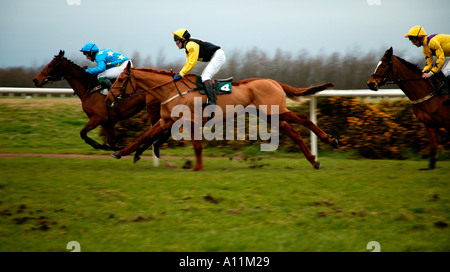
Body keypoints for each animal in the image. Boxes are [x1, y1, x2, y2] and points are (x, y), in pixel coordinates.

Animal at [33, 50, 163, 153]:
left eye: (51, 65)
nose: (35, 80)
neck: (89, 88)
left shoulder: (99, 117)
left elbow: (83, 133)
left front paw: (98, 145)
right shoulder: (108, 122)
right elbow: (112, 144)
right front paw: (117, 148)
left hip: (153, 108)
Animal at [105, 62, 338, 171]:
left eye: (120, 80)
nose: (108, 99)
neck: (172, 90)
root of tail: (273, 81)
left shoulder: (191, 122)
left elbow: (197, 146)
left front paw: (197, 168)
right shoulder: (166, 121)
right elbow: (143, 137)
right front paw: (120, 152)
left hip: (276, 111)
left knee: (305, 120)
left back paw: (330, 141)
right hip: (271, 116)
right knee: (294, 134)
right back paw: (313, 160)